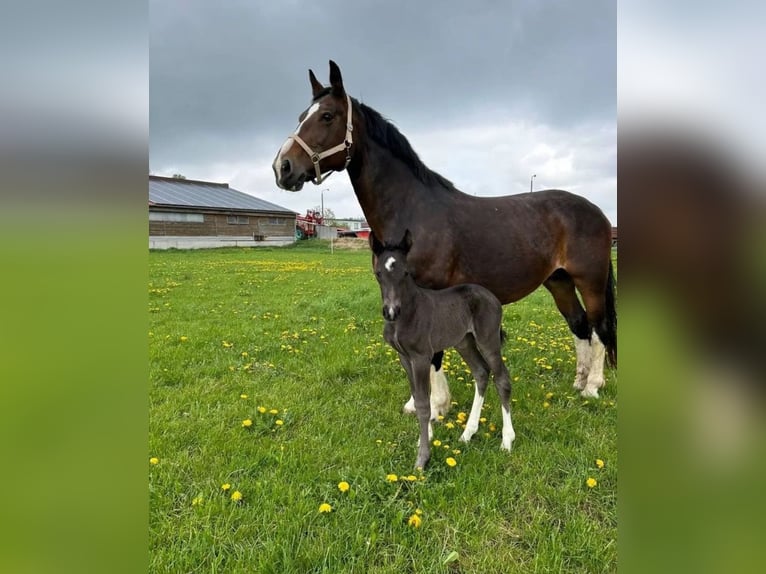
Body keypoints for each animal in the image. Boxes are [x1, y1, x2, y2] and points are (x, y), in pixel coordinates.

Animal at [272, 60, 616, 415]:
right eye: (302, 116)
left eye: (327, 116)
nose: (282, 167)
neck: (412, 210)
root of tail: (597, 212)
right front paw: (416, 403)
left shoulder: (432, 290)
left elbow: (432, 350)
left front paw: (437, 405)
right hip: (559, 281)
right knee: (579, 325)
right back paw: (578, 382)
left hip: (589, 280)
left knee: (599, 329)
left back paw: (592, 387)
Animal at [371, 229, 515, 469]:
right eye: (378, 273)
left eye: (406, 272)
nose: (391, 311)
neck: (408, 312)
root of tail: (491, 296)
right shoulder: (404, 357)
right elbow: (418, 397)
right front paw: (426, 438)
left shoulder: (421, 356)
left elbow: (423, 403)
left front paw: (422, 458)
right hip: (464, 341)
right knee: (481, 372)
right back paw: (467, 433)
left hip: (487, 339)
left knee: (501, 378)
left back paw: (507, 440)